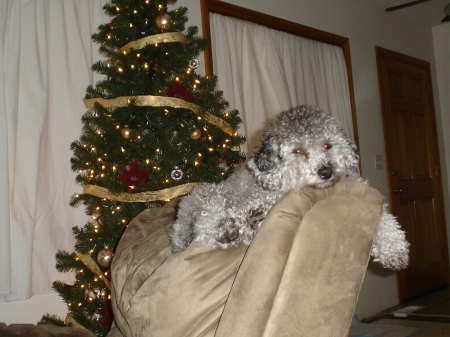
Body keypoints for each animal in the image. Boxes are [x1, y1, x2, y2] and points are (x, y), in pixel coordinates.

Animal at [171, 106, 410, 270]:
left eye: (327, 145)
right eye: (298, 151)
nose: (326, 171)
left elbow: (386, 219)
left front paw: (394, 247)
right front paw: (254, 213)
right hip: (206, 197)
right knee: (205, 225)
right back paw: (229, 227)